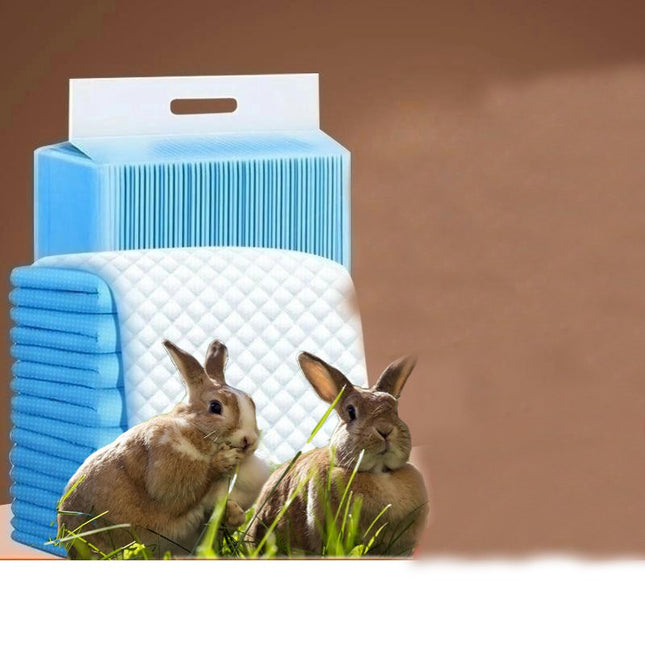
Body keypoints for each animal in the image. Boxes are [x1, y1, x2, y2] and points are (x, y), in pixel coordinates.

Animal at [57, 339, 269, 559]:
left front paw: (236, 515)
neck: (196, 430)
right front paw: (225, 460)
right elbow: (195, 483)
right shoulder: (167, 464)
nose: (249, 440)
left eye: (251, 402)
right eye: (215, 407)